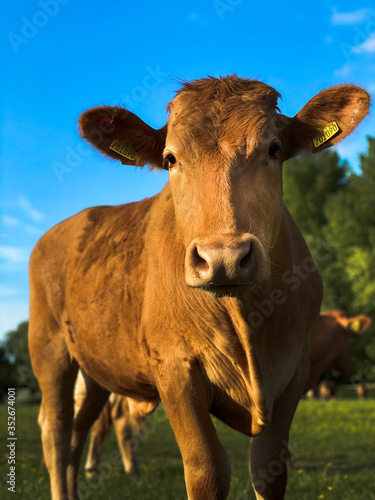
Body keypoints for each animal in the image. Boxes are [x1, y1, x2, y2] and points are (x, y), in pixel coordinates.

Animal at [29, 75, 370, 500]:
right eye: (170, 159)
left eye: (273, 149)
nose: (223, 256)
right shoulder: (176, 367)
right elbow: (207, 471)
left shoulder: (293, 370)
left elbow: (269, 470)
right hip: (50, 350)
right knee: (56, 431)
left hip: (94, 369)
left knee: (80, 427)